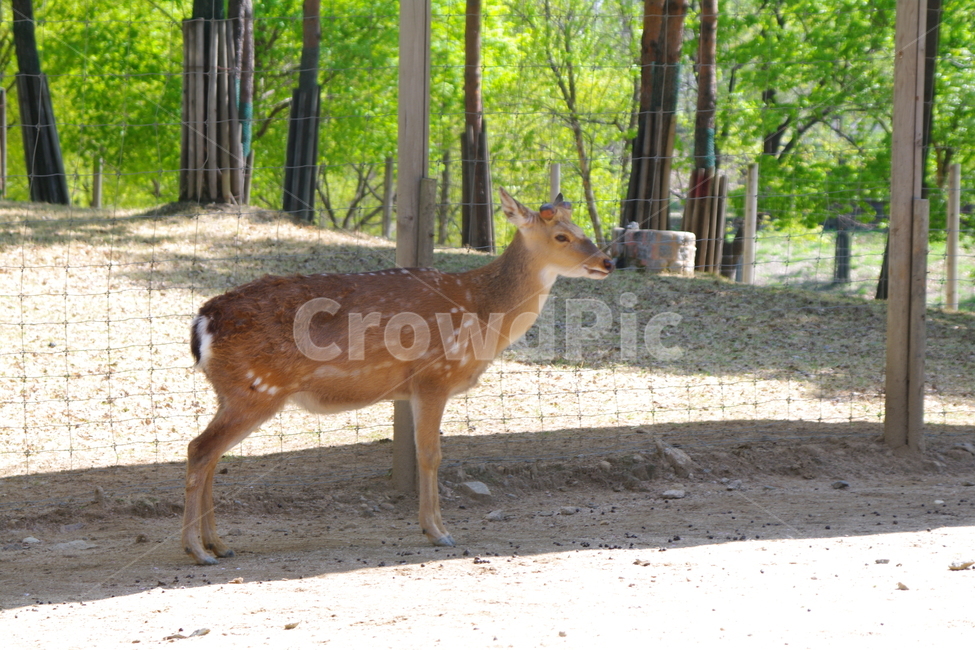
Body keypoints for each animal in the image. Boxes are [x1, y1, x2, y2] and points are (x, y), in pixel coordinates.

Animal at [182, 187, 614, 565]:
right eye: (561, 236)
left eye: (582, 229)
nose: (608, 262)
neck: (481, 312)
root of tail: (203, 322)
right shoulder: (433, 377)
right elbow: (431, 454)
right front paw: (438, 531)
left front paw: (434, 528)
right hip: (256, 389)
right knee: (199, 449)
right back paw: (198, 550)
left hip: (235, 392)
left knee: (211, 455)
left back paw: (220, 545)